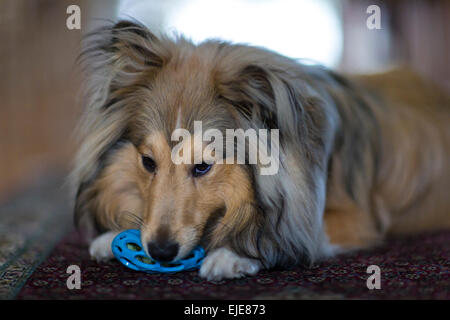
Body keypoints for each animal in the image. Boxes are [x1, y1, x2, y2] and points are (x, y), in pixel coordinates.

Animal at [71, 20, 450, 280]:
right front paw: (109, 237)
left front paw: (235, 254)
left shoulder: (354, 217)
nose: (161, 251)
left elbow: (299, 233)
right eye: (148, 162)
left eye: (203, 166)